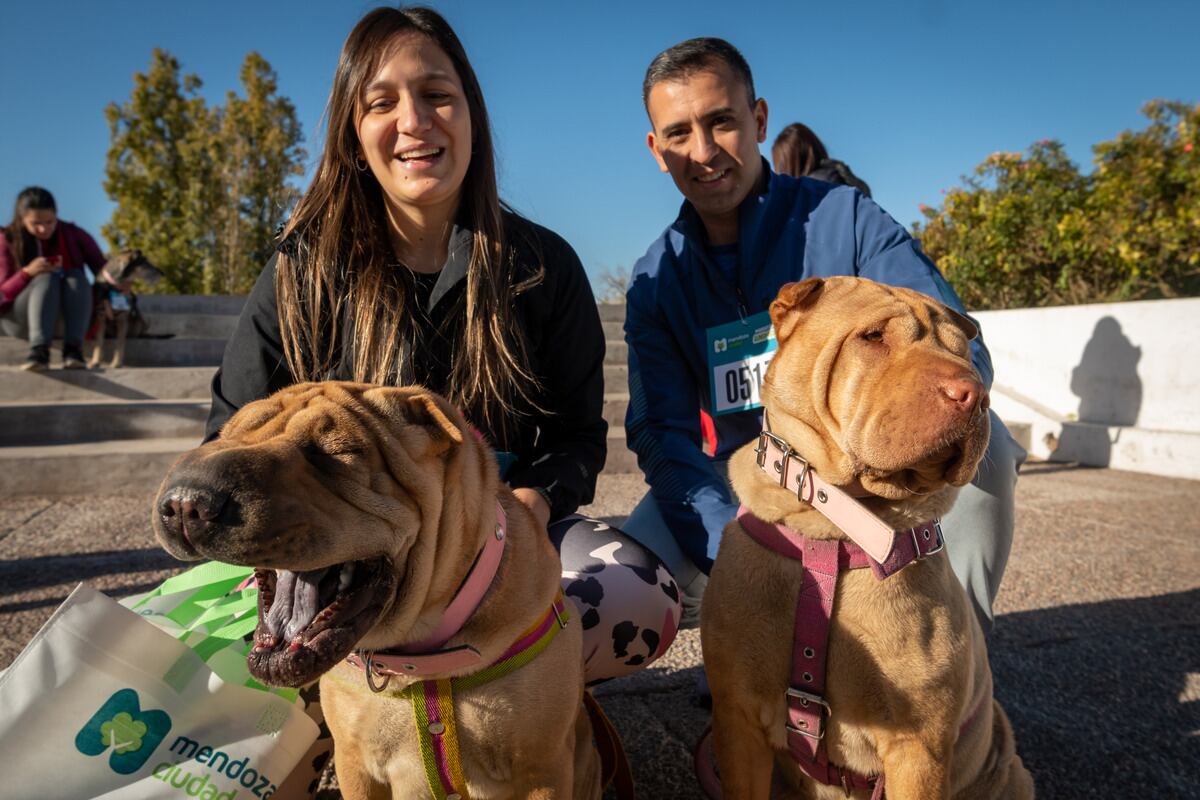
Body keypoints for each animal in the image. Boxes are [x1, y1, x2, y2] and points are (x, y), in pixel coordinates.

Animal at [152, 381, 600, 800]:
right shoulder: (356, 764)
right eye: (224, 436)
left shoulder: (541, 771)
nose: (186, 502)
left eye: (335, 452)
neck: (422, 659)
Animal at [700, 277, 1032, 800]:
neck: (834, 529)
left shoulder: (918, 746)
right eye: (873, 337)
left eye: (964, 353)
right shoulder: (737, 717)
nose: (975, 394)